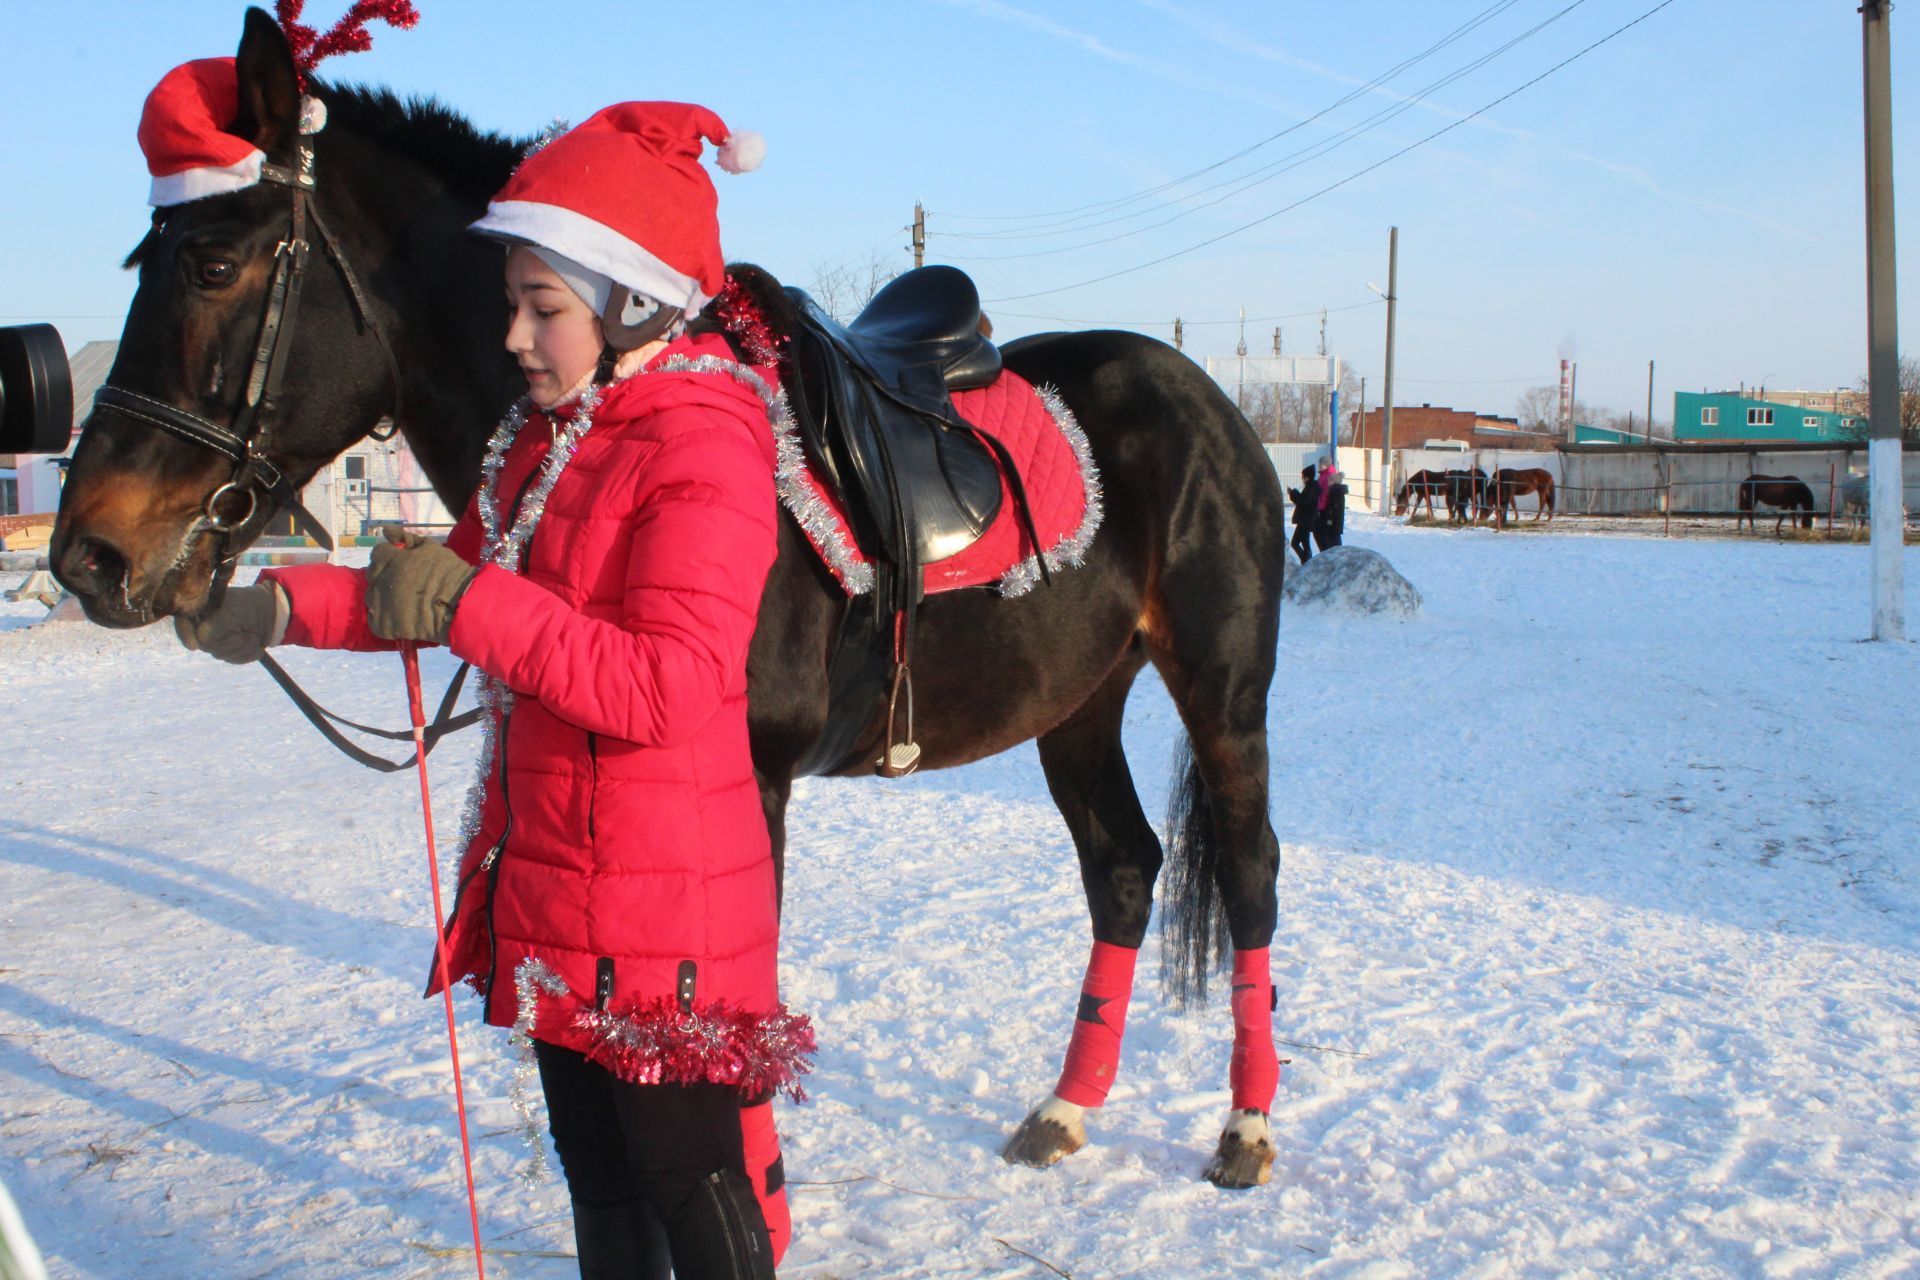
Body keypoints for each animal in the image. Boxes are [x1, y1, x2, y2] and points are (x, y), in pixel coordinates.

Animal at [48, 7, 1290, 1189]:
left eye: (212, 266)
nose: (87, 554)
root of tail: (1198, 393)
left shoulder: (753, 783)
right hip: (1075, 701)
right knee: (1123, 868)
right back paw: (1065, 1109)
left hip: (1222, 688)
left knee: (1250, 872)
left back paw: (1247, 1127)